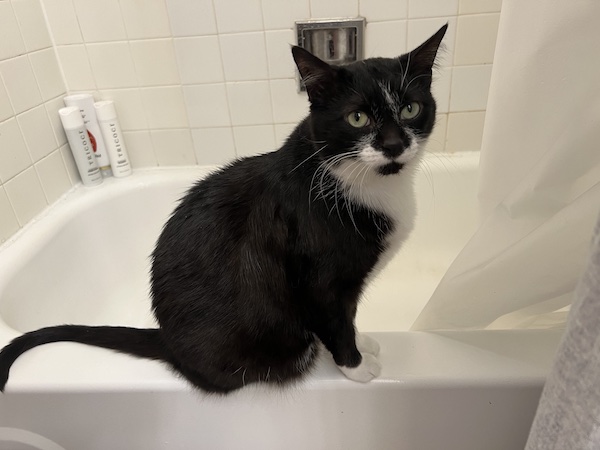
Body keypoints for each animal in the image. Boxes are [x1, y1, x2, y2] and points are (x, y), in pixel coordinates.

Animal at [0, 25, 446, 394]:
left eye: (410, 108)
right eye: (357, 117)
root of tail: (168, 342)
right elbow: (334, 318)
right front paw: (354, 365)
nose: (394, 144)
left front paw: (362, 341)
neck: (367, 185)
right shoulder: (321, 279)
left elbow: (347, 315)